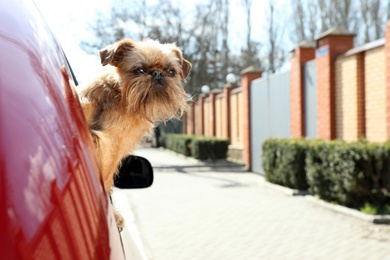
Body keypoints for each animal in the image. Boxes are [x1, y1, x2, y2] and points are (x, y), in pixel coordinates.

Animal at [77, 38, 191, 228]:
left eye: (171, 71)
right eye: (139, 70)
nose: (157, 74)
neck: (120, 95)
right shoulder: (110, 144)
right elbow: (106, 178)